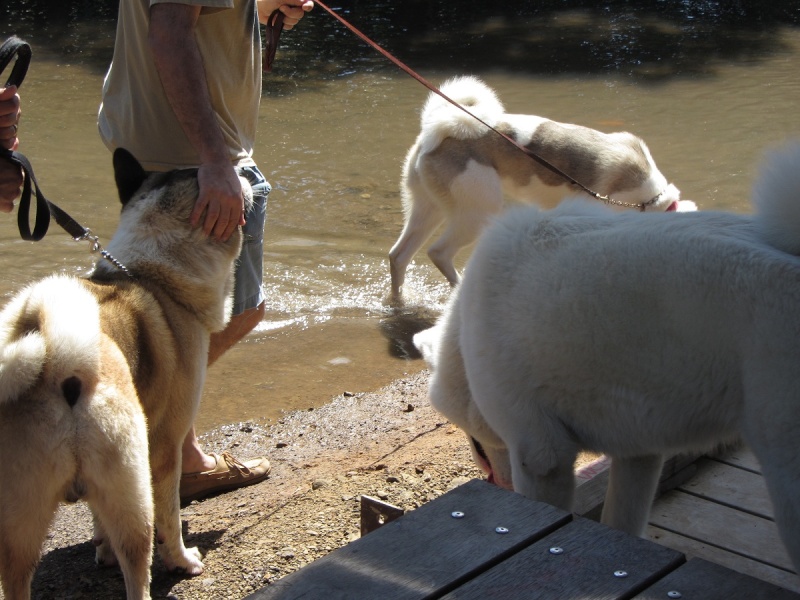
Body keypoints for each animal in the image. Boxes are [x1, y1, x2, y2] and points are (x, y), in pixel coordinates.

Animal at [0, 148, 250, 596]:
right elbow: (170, 514)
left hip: (18, 521)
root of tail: (55, 358)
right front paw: (181, 559)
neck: (152, 272)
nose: (243, 171)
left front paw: (101, 548)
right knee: (139, 560)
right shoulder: (164, 447)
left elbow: (99, 518)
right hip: (131, 488)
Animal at [390, 75, 696, 300]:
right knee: (438, 252)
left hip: (428, 210)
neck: (648, 201)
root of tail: (438, 131)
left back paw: (398, 299)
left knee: (398, 255)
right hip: (478, 213)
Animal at [416, 142, 800, 576]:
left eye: (474, 441)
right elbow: (622, 523)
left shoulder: (540, 453)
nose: (490, 483)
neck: (464, 332)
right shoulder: (641, 451)